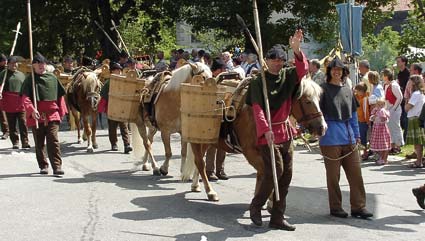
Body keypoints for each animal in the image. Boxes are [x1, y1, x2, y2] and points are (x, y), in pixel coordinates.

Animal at [181, 76, 324, 201]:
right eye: (307, 101)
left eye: (319, 99)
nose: (322, 127)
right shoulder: (251, 152)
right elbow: (266, 172)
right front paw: (267, 200)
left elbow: (266, 173)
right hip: (196, 139)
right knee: (200, 162)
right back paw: (210, 192)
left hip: (208, 141)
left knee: (199, 161)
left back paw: (196, 185)